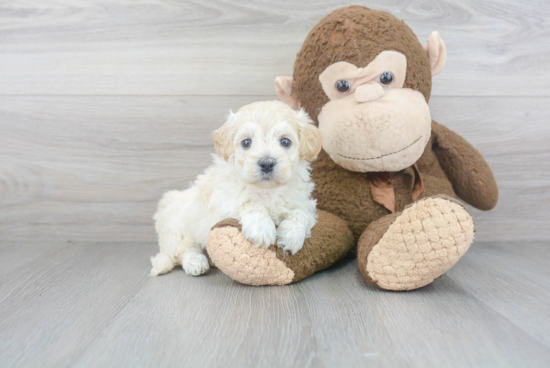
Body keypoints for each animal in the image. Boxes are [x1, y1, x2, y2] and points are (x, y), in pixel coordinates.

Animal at [151, 100, 324, 276]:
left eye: (285, 142)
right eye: (246, 142)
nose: (267, 163)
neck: (267, 190)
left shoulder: (303, 202)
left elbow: (301, 213)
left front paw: (292, 235)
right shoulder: (225, 200)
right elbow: (250, 204)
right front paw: (262, 229)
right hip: (176, 224)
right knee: (183, 250)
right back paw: (196, 262)